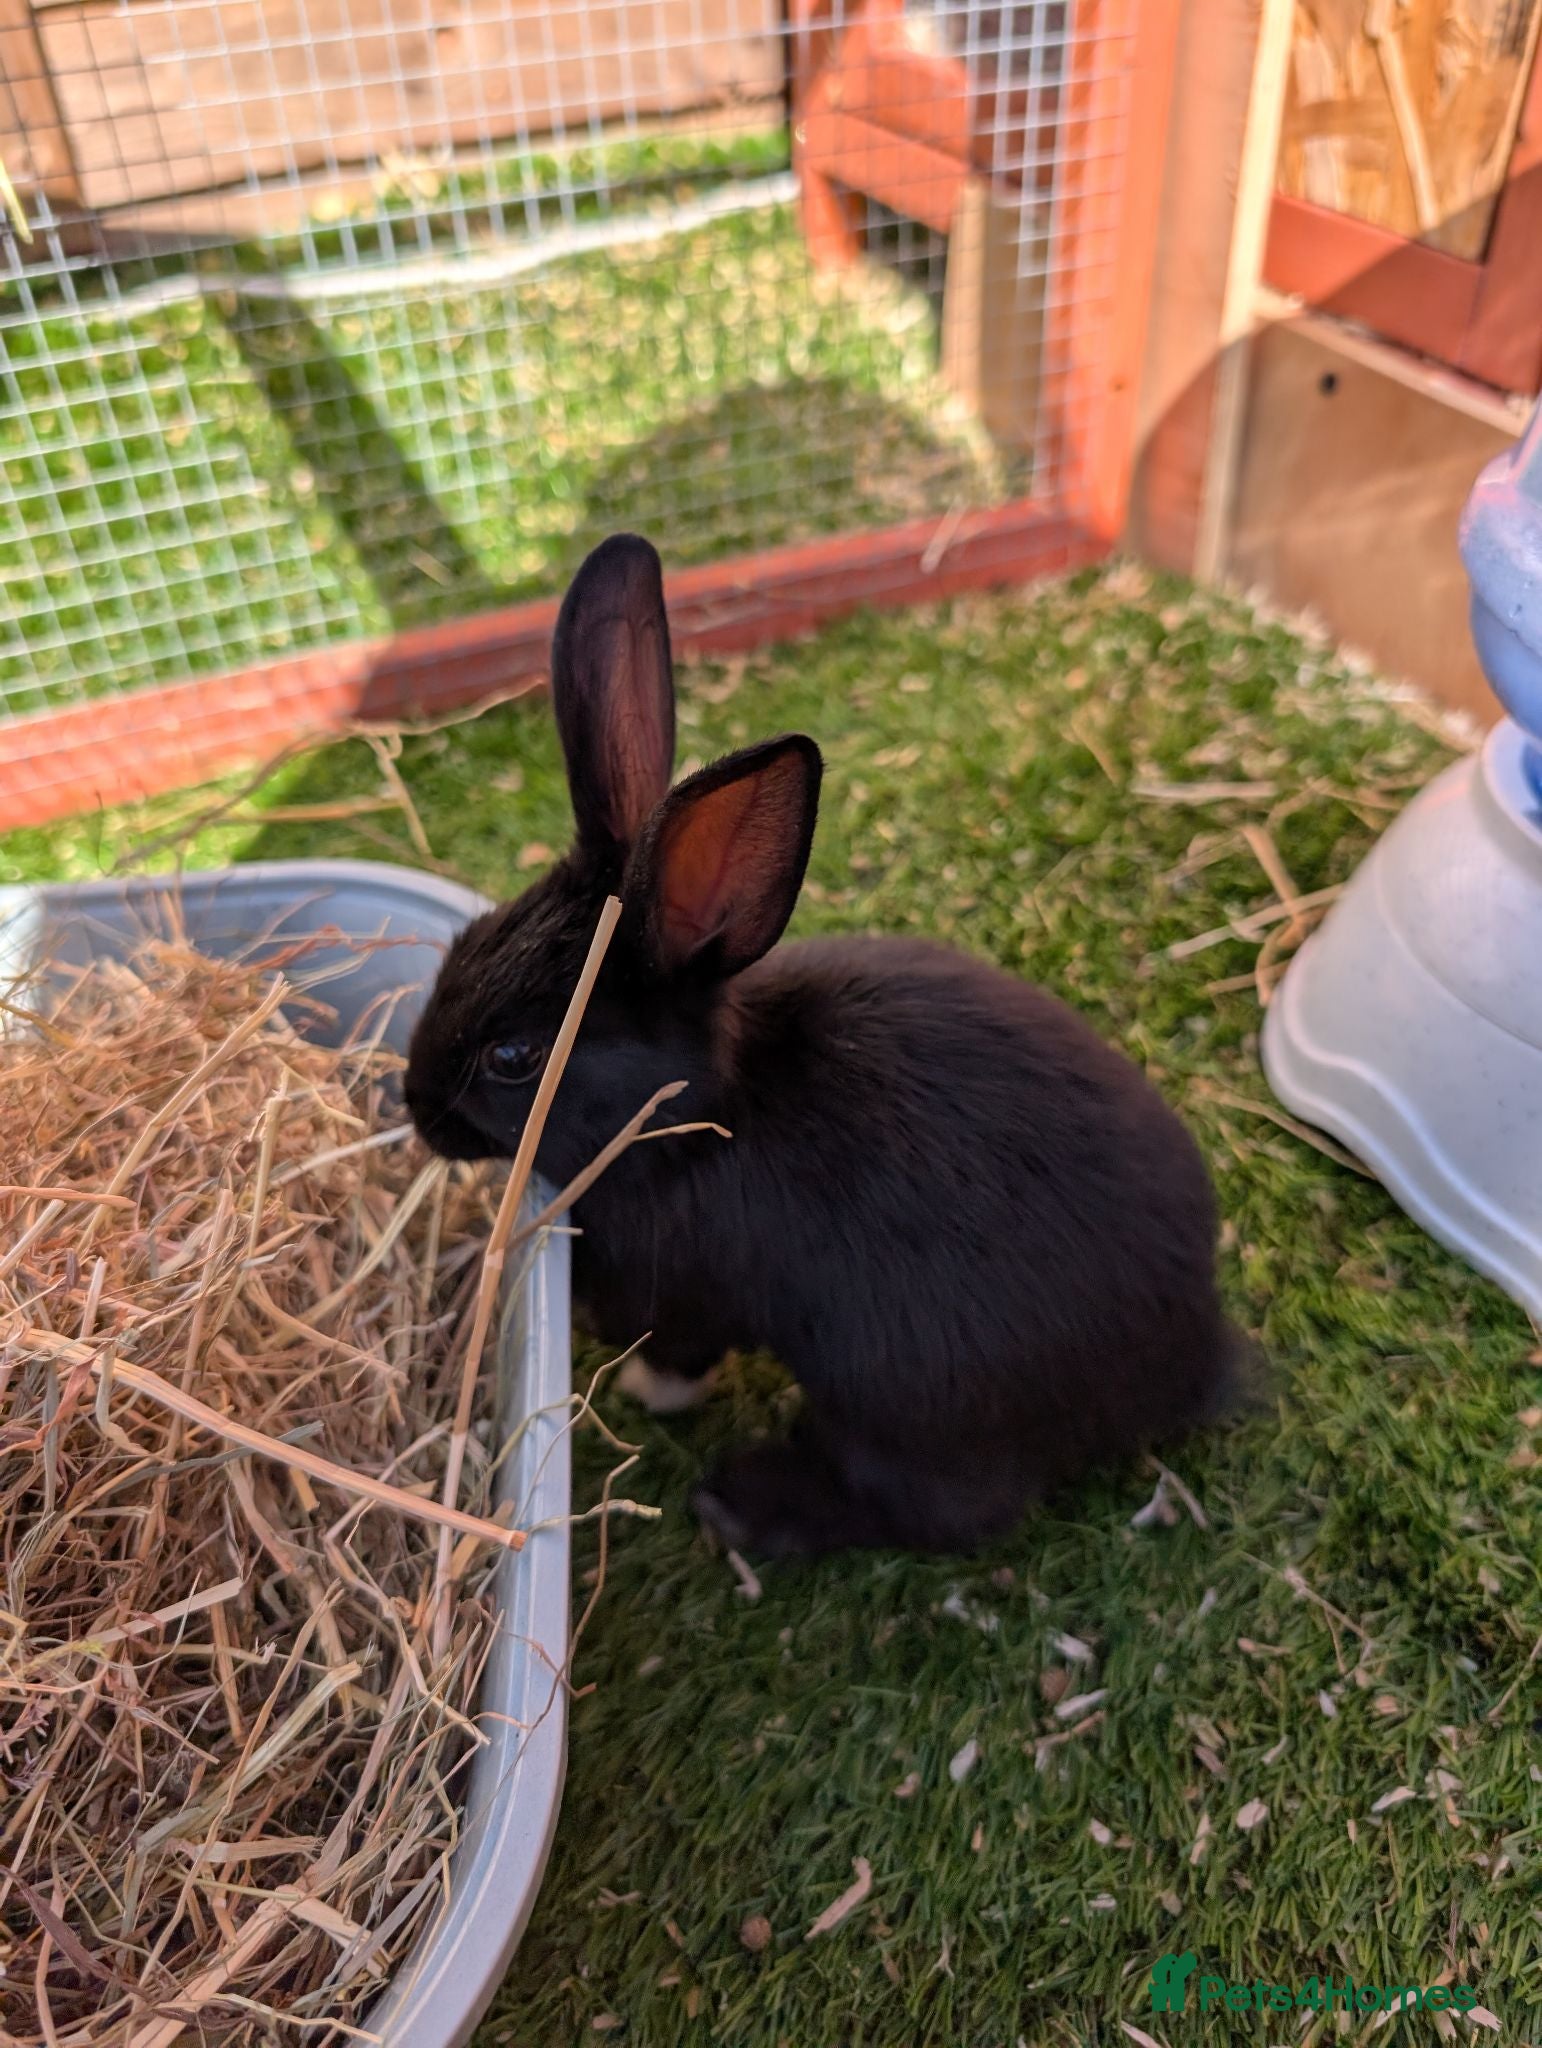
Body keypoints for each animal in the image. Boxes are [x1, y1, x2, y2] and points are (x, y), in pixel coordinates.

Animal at [403, 533, 1239, 1558]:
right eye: (464, 941)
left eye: (514, 1060)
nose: (412, 1105)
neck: (696, 1119)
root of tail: (1194, 1357)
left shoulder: (681, 1295)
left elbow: (677, 1354)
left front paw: (643, 1392)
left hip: (903, 1402)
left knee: (946, 1511)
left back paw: (744, 1502)